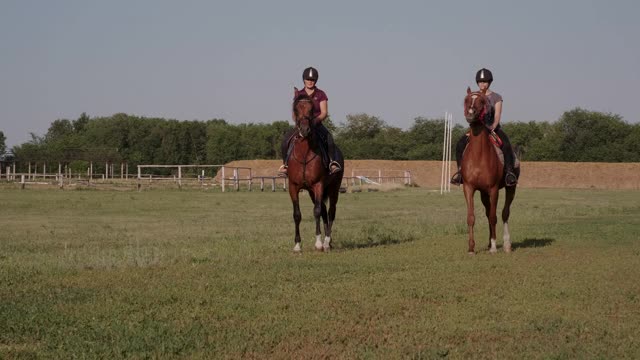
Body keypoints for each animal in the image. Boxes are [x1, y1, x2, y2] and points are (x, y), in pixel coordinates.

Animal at [286, 93, 342, 253]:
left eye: (311, 109)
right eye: (296, 109)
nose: (305, 130)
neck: (304, 153)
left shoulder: (318, 185)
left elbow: (316, 211)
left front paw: (318, 243)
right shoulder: (293, 187)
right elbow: (297, 214)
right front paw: (297, 245)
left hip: (333, 189)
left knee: (331, 212)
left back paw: (326, 242)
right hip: (312, 192)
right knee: (324, 211)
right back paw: (328, 242)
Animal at [460, 88, 520, 253]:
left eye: (482, 101)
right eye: (466, 100)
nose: (470, 114)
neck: (478, 156)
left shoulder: (493, 189)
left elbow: (494, 217)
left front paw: (493, 247)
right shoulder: (469, 188)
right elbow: (471, 217)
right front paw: (471, 248)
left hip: (510, 188)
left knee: (505, 213)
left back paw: (506, 244)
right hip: (483, 193)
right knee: (488, 214)